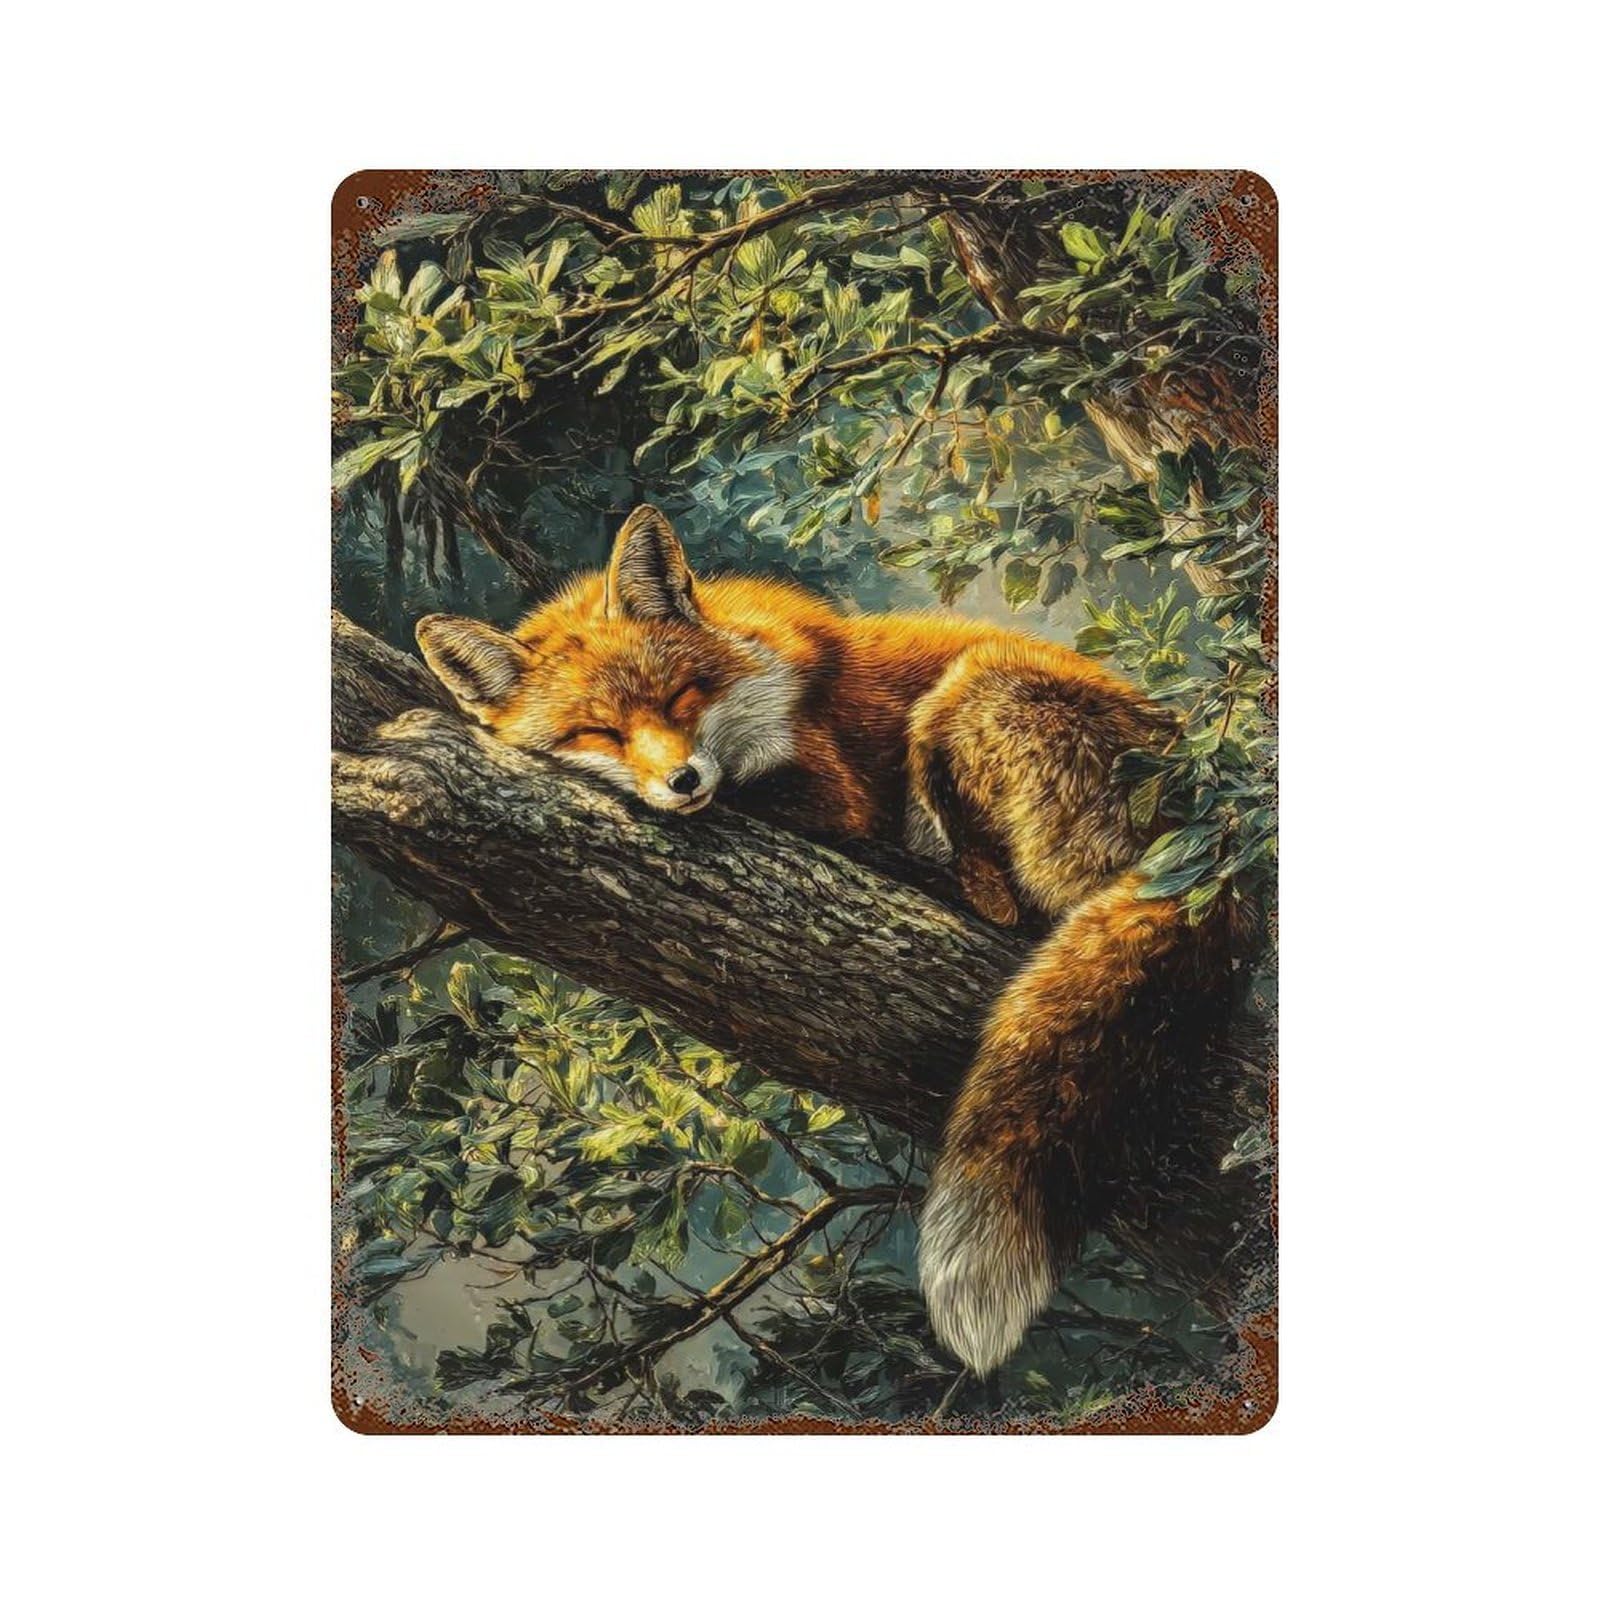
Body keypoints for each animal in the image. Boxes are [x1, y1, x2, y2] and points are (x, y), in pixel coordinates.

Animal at [416, 503, 1231, 1375]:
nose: (683, 782)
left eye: (680, 695)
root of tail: (1213, 833)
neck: (760, 680)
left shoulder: (830, 789)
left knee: (1012, 903)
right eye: (597, 730)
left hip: (970, 690)